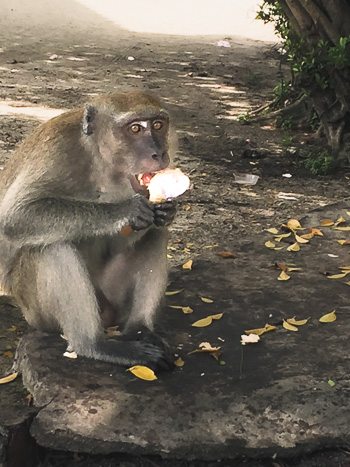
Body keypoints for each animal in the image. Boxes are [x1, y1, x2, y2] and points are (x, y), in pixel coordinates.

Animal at [0, 92, 176, 372]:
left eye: (158, 125)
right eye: (135, 129)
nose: (158, 152)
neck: (99, 162)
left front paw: (166, 211)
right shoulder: (58, 151)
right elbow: (15, 217)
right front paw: (124, 210)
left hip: (112, 294)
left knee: (156, 234)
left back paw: (139, 330)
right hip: (36, 311)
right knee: (51, 247)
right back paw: (93, 345)